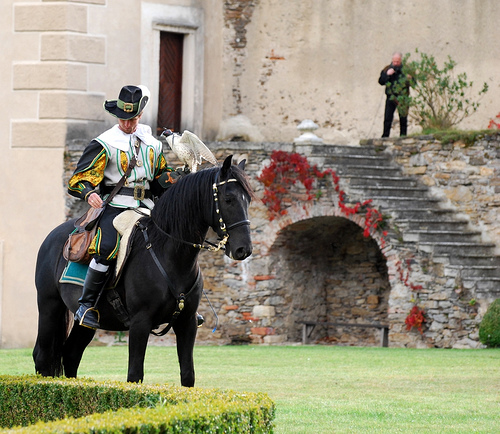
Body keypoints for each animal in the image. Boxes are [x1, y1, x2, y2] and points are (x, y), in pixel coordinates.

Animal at [33, 155, 253, 386]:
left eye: (248, 199)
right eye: (228, 199)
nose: (243, 249)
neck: (170, 255)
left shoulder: (187, 322)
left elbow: (187, 375)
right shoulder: (140, 322)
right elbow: (135, 375)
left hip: (83, 323)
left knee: (71, 355)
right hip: (49, 307)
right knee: (43, 356)